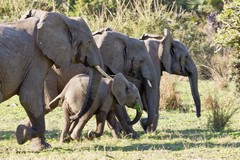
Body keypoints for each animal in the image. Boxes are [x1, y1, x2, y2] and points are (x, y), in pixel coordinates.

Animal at [0, 10, 108, 151]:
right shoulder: (37, 57)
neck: (64, 19)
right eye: (89, 42)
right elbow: (29, 97)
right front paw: (21, 134)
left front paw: (38, 145)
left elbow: (40, 102)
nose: (73, 115)